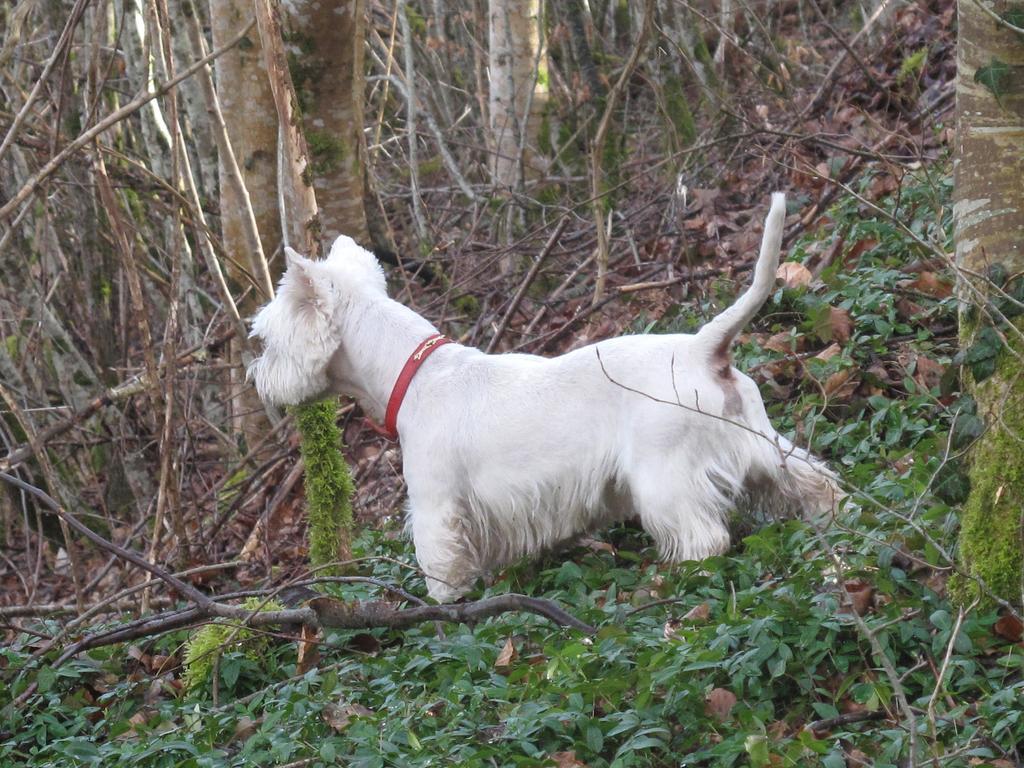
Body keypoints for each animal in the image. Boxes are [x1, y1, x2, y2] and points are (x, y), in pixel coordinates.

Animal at [249, 192, 839, 602]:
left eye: (269, 339)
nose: (258, 378)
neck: (412, 373)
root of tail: (705, 348)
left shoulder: (437, 506)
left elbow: (440, 570)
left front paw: (442, 610)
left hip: (665, 477)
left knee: (703, 536)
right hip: (760, 445)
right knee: (814, 481)